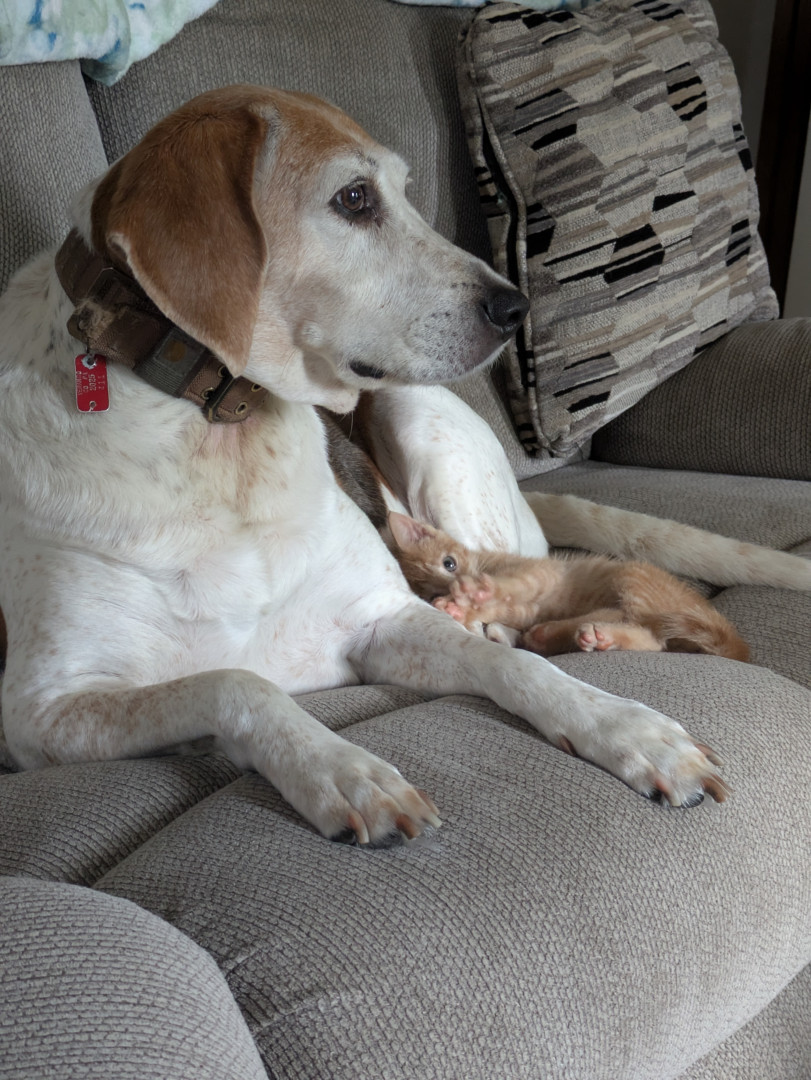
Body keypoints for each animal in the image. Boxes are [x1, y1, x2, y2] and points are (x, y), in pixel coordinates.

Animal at [386, 512, 750, 662]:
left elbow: (512, 585)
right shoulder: (526, 608)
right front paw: (460, 608)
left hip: (635, 577)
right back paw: (585, 636)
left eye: (450, 563)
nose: (457, 584)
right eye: (433, 590)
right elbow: (505, 607)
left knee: (652, 635)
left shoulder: (541, 574)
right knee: (652, 639)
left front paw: (476, 594)